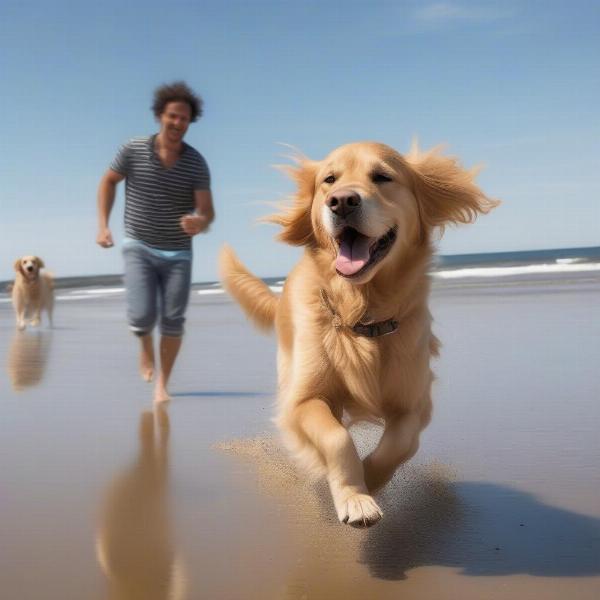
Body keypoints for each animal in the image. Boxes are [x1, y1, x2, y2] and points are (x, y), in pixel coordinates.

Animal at [220, 141, 496, 524]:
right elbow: (336, 438)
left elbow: (400, 443)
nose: (341, 201)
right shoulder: (303, 400)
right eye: (329, 180)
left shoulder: (414, 402)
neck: (362, 314)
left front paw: (370, 480)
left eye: (382, 176)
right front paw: (353, 496)